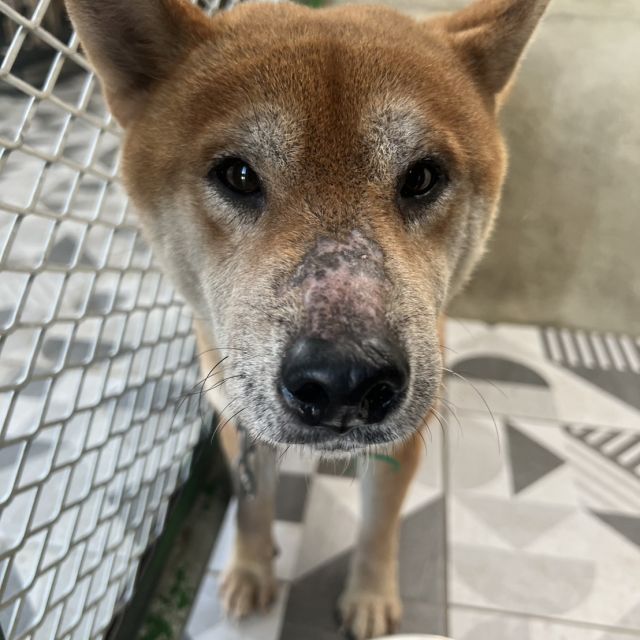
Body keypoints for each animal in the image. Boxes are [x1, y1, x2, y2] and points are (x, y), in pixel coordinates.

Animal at [64, 0, 549, 637]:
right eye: (239, 175)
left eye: (422, 176)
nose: (346, 380)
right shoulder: (236, 420)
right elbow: (252, 507)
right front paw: (251, 569)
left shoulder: (401, 442)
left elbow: (377, 528)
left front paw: (369, 595)